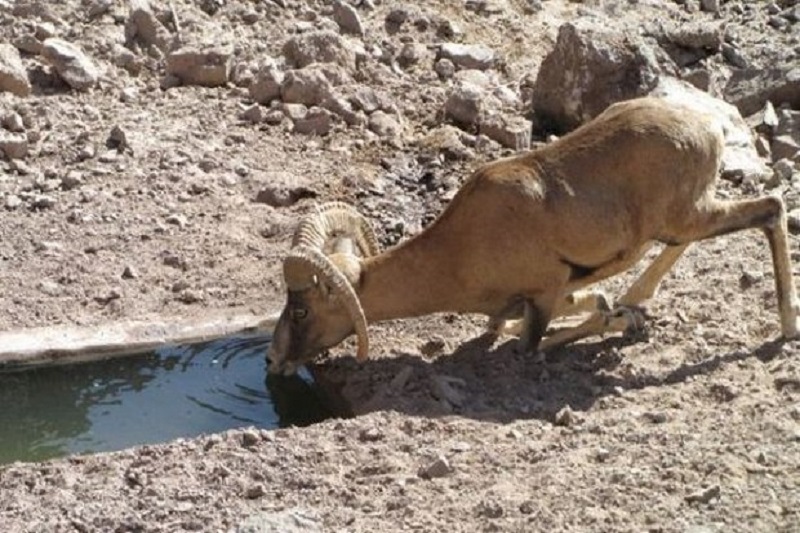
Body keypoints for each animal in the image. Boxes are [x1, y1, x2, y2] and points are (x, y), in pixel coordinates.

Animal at [266, 98, 796, 374]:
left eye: (301, 309)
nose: (272, 360)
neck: (461, 247)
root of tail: (707, 126)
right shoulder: (531, 300)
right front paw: (618, 310)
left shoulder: (541, 295)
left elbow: (530, 343)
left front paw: (616, 318)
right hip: (682, 221)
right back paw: (637, 300)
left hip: (692, 215)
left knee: (771, 209)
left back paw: (787, 328)